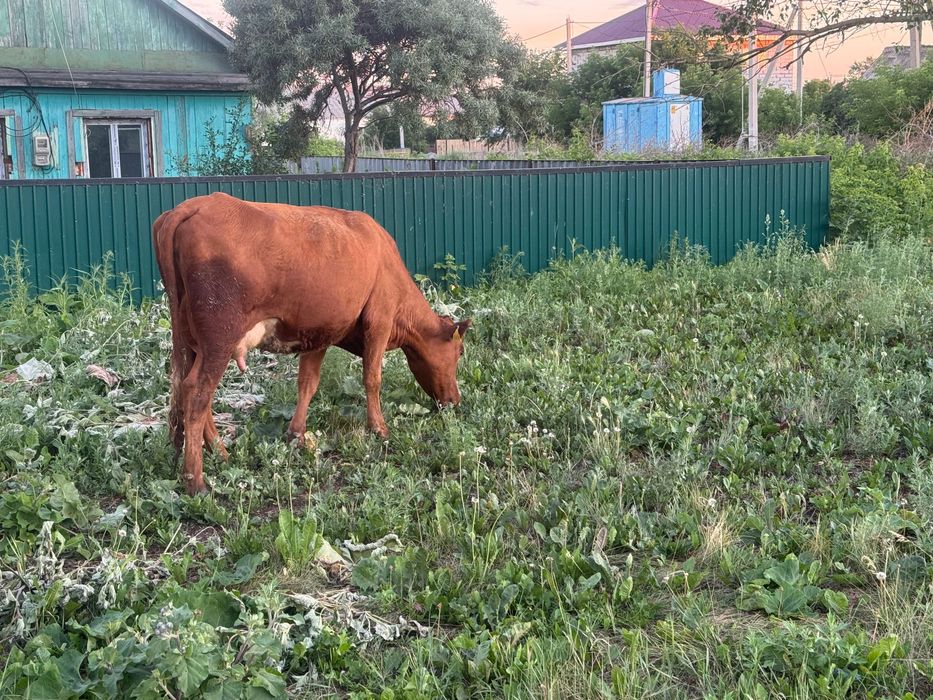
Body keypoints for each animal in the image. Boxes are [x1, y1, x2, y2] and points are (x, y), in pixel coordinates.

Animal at [152, 192, 470, 494]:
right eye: (459, 351)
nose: (455, 400)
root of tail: (192, 206)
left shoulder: (319, 333)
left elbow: (307, 383)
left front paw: (297, 434)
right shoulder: (379, 321)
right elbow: (372, 378)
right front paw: (379, 428)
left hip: (192, 343)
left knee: (187, 388)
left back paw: (220, 453)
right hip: (219, 338)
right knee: (197, 393)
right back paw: (196, 480)